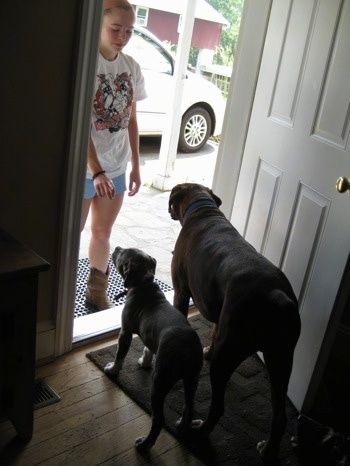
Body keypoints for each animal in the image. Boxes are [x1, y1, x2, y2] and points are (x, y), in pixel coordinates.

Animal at [170, 183, 300, 462]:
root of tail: (277, 295)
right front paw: (206, 350)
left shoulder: (181, 291)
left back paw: (199, 430)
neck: (204, 209)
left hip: (228, 357)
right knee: (280, 416)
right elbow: (213, 330)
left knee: (218, 407)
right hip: (280, 362)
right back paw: (269, 449)